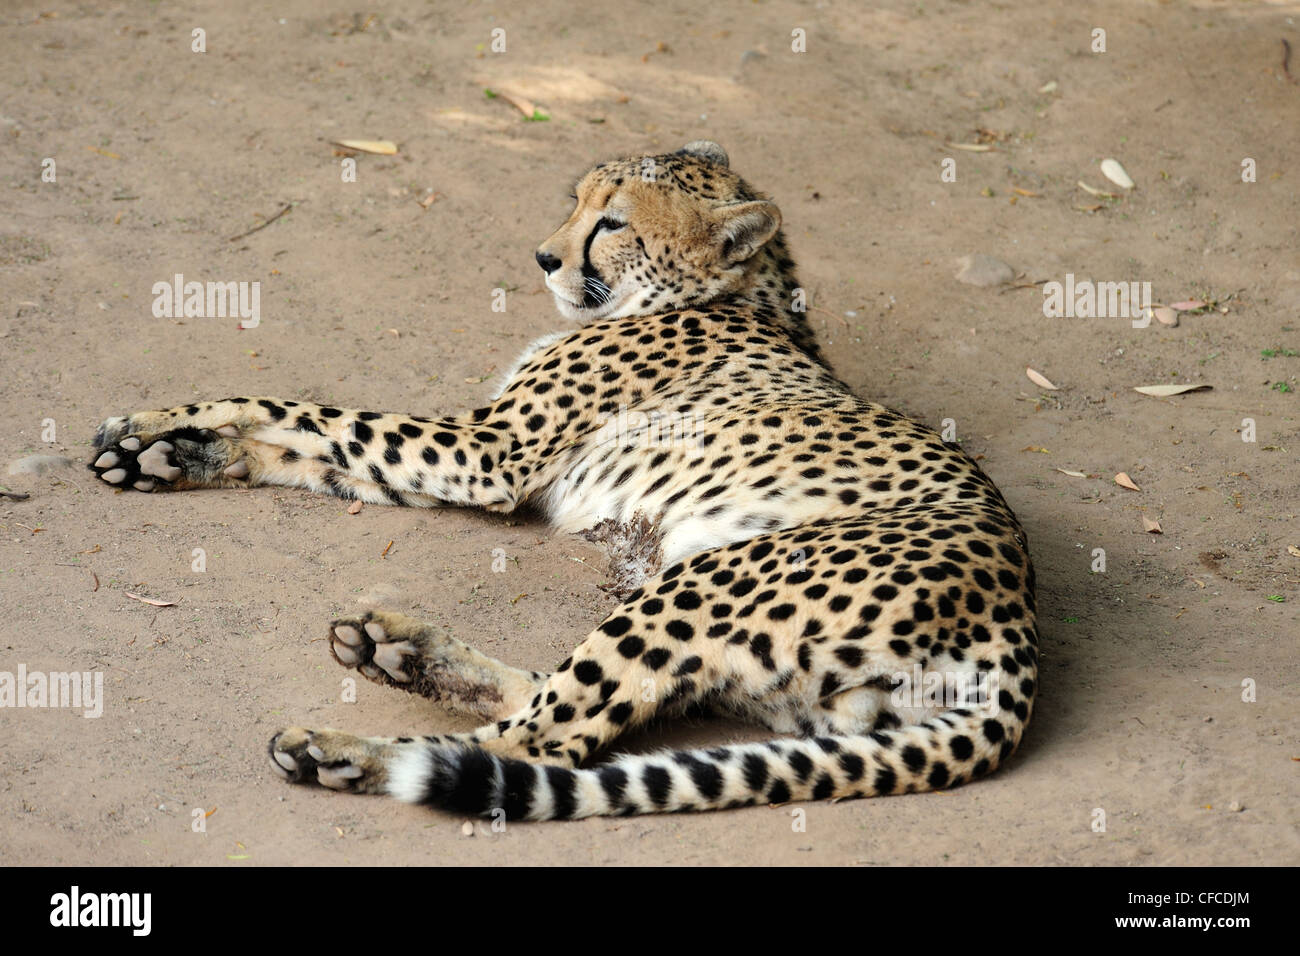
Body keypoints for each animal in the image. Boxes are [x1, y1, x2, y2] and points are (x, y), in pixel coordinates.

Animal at [91, 138, 1040, 816]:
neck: (738, 295)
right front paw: (169, 446)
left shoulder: (486, 454)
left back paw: (348, 751)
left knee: (540, 743)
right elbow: (308, 438)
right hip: (771, 683)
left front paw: (169, 427)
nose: (544, 258)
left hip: (707, 578)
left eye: (613, 223)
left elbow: (316, 411)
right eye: (575, 200)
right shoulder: (468, 455)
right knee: (584, 703)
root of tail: (1018, 625)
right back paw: (402, 654)